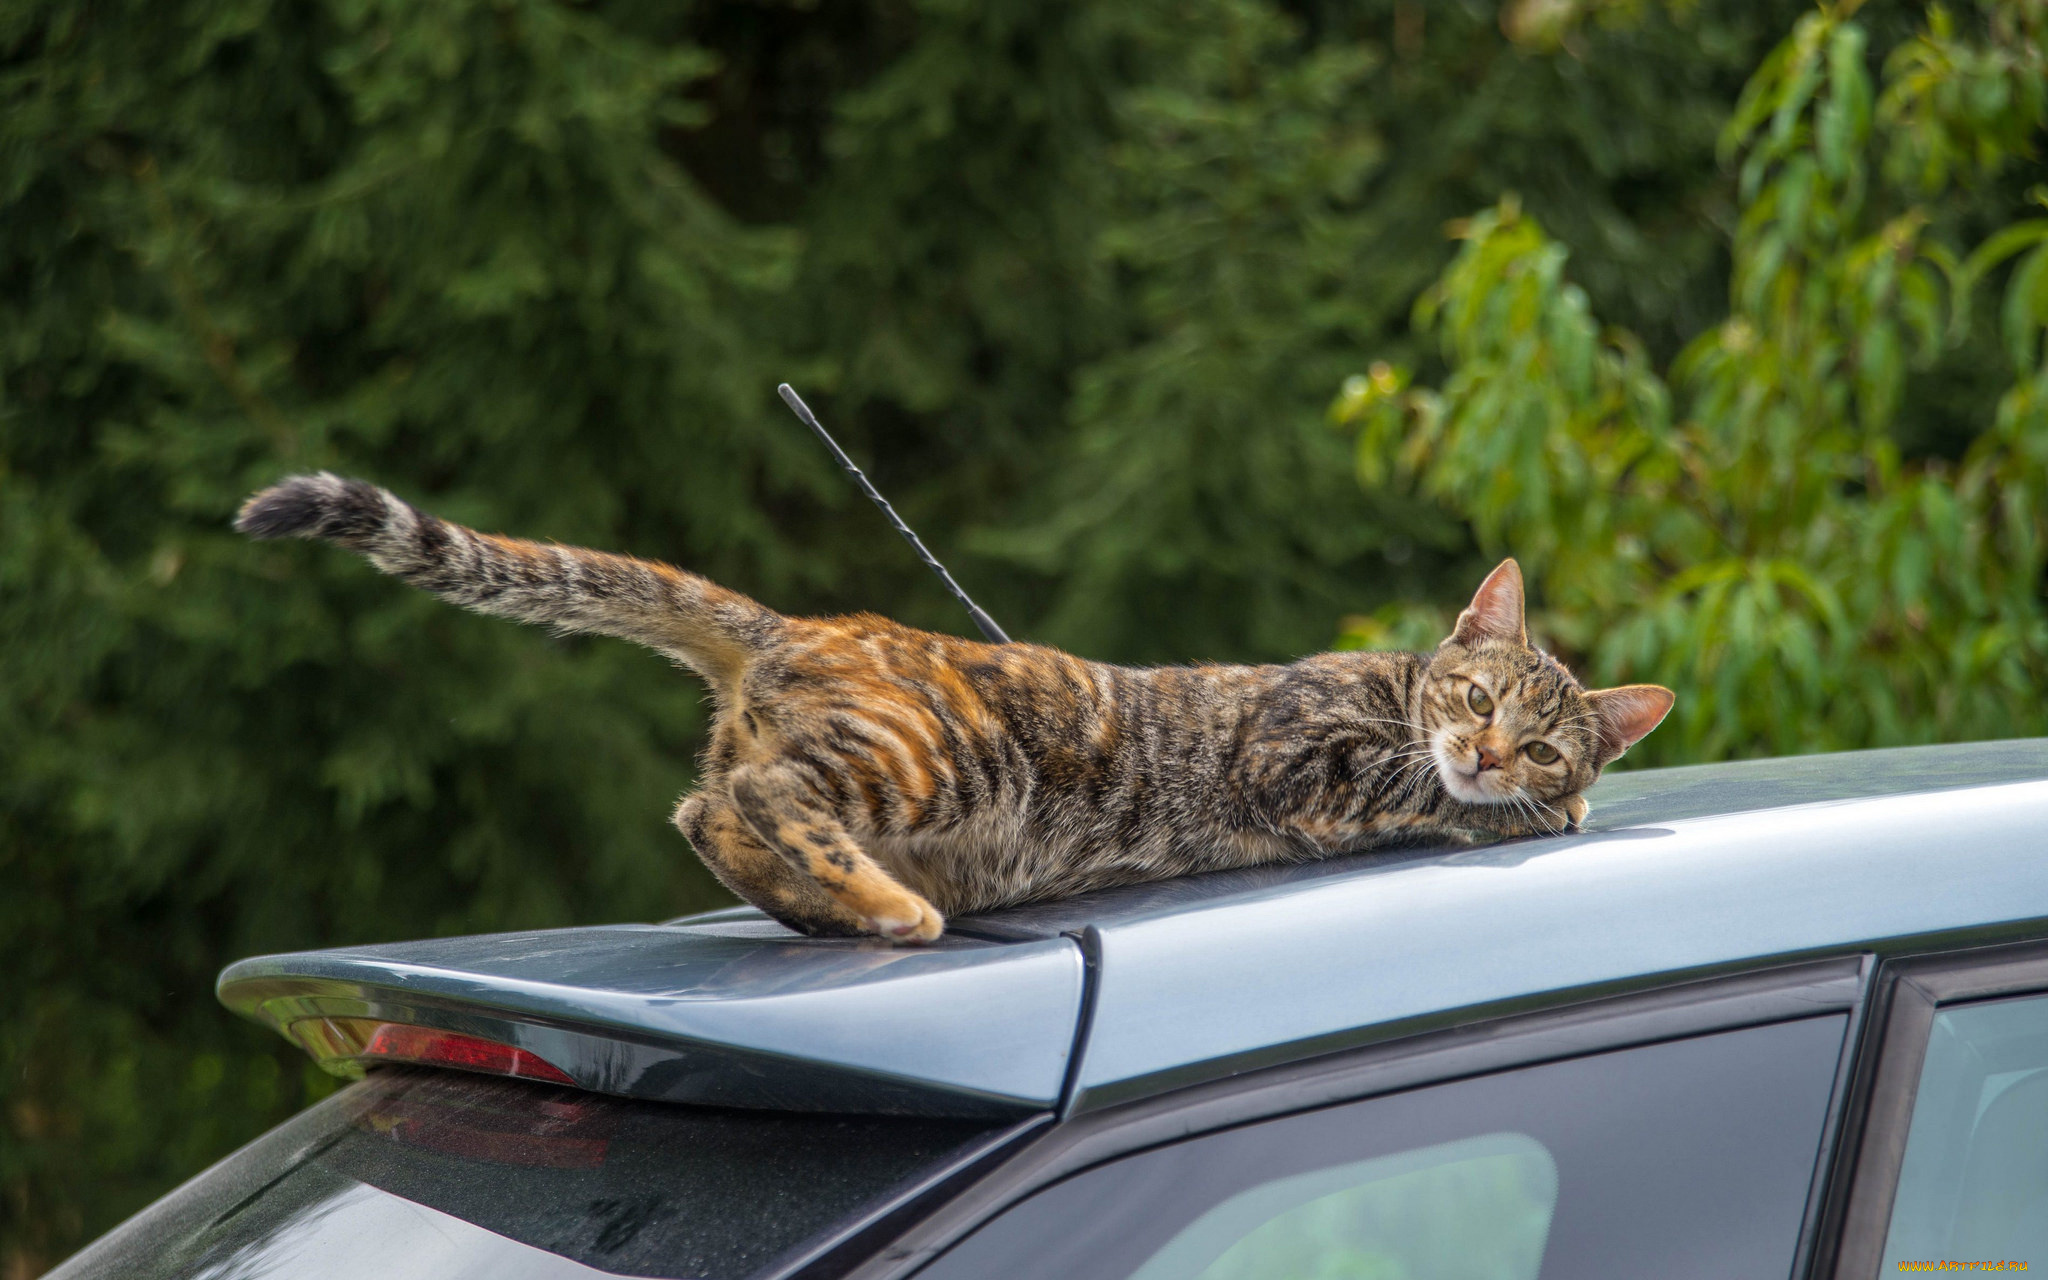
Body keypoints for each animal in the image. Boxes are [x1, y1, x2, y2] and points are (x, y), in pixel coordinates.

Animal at [243, 468, 1679, 937]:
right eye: (1476, 689)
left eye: (1542, 740)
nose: (1490, 749)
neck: (1395, 687)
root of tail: (796, 624)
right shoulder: (1297, 755)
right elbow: (1409, 782)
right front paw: (1507, 813)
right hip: (926, 757)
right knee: (754, 792)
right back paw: (884, 905)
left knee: (707, 810)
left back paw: (831, 907)